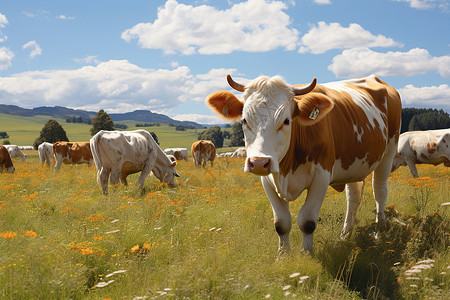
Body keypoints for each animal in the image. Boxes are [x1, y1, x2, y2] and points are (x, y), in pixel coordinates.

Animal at [207, 74, 400, 254]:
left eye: (286, 120)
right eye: (245, 120)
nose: (259, 162)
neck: (286, 170)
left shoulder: (321, 177)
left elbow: (307, 221)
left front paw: (307, 254)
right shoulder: (267, 180)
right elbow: (281, 223)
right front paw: (283, 256)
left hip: (388, 153)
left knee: (379, 191)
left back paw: (379, 230)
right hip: (353, 165)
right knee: (353, 196)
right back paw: (345, 235)